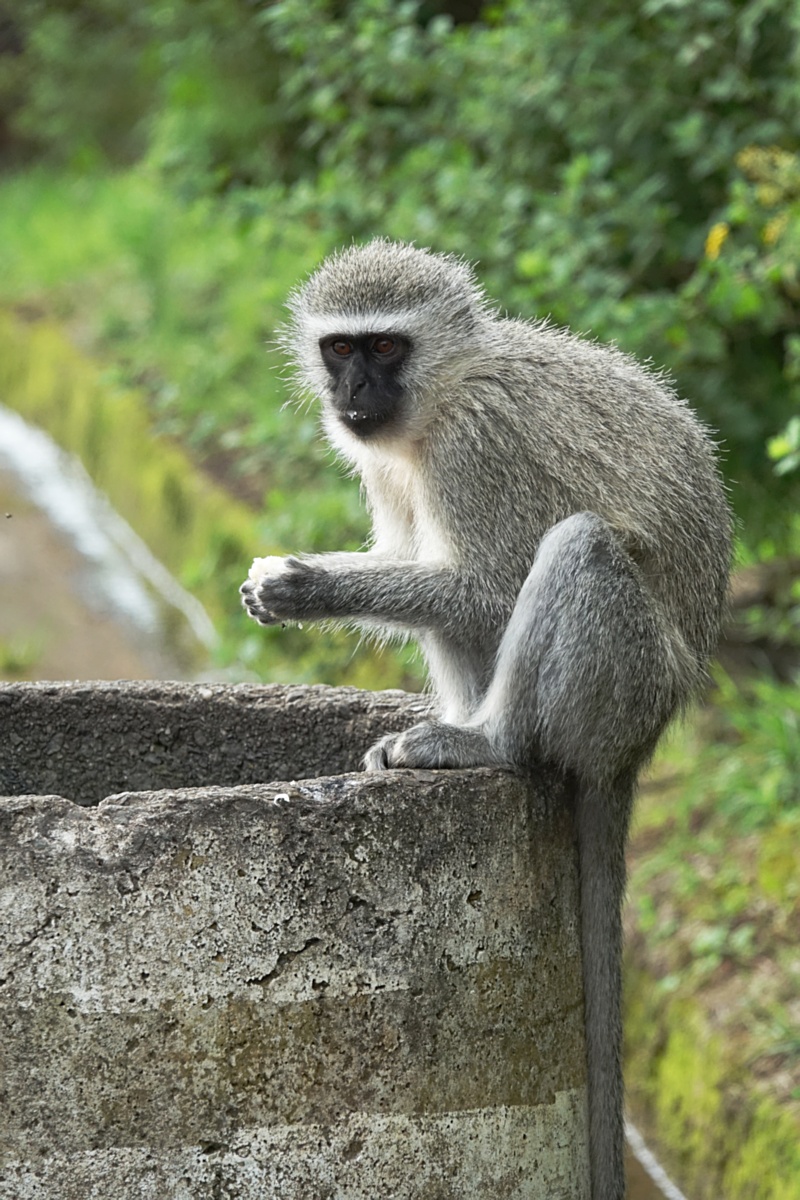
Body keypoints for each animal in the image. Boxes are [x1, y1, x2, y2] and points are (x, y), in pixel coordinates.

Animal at [241, 238, 734, 1195]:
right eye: (339, 348)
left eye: (385, 347)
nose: (354, 393)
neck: (443, 391)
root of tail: (642, 740)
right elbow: (420, 565)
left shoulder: (479, 444)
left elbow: (490, 586)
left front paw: (306, 586)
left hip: (622, 683)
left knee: (573, 548)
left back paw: (487, 743)